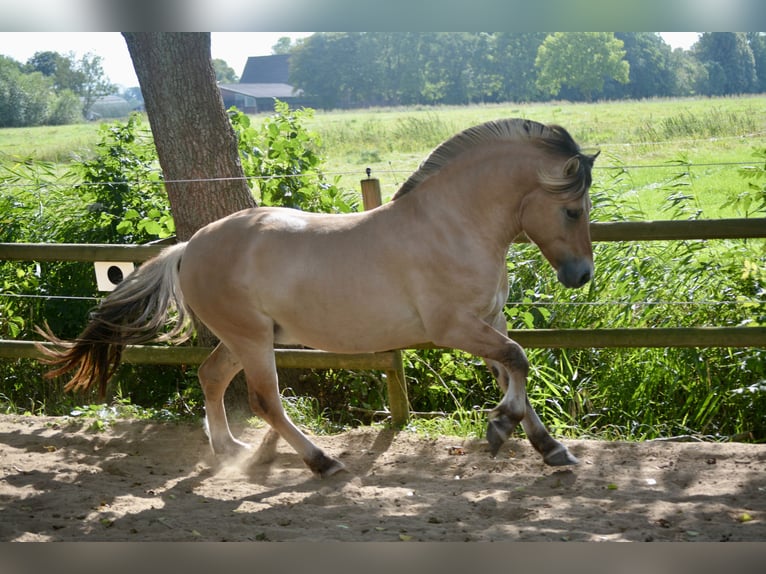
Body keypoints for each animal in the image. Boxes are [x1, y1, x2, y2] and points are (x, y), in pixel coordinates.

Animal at [40, 119, 600, 480]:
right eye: (573, 210)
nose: (580, 276)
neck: (452, 225)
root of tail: (188, 248)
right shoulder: (456, 328)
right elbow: (519, 360)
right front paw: (500, 427)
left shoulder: (490, 320)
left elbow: (513, 373)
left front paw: (551, 449)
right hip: (251, 339)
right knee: (266, 401)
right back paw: (320, 461)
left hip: (244, 338)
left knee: (211, 376)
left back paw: (230, 449)